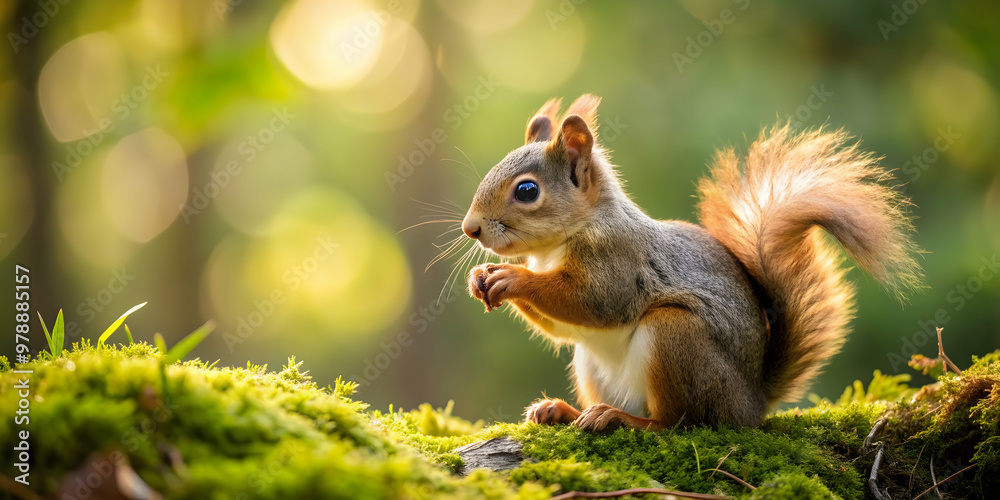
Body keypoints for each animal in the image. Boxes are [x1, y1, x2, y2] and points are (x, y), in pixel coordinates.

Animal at [461, 95, 924, 431]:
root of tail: (753, 404)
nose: (470, 229)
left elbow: (592, 303)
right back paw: (564, 412)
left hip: (676, 337)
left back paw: (622, 419)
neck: (559, 243)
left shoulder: (619, 261)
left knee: (675, 422)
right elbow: (560, 328)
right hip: (591, 365)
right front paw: (479, 277)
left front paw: (512, 276)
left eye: (527, 190)